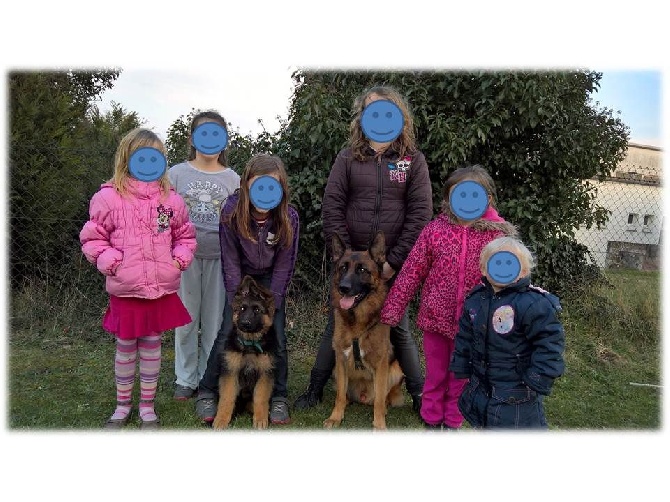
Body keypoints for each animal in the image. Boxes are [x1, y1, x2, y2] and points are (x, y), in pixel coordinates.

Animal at [215, 274, 278, 432]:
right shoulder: (230, 372)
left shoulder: (265, 373)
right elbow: (227, 398)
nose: (245, 323)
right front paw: (221, 420)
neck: (250, 344)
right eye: (242, 308)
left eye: (257, 310)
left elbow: (260, 398)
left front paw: (260, 420)